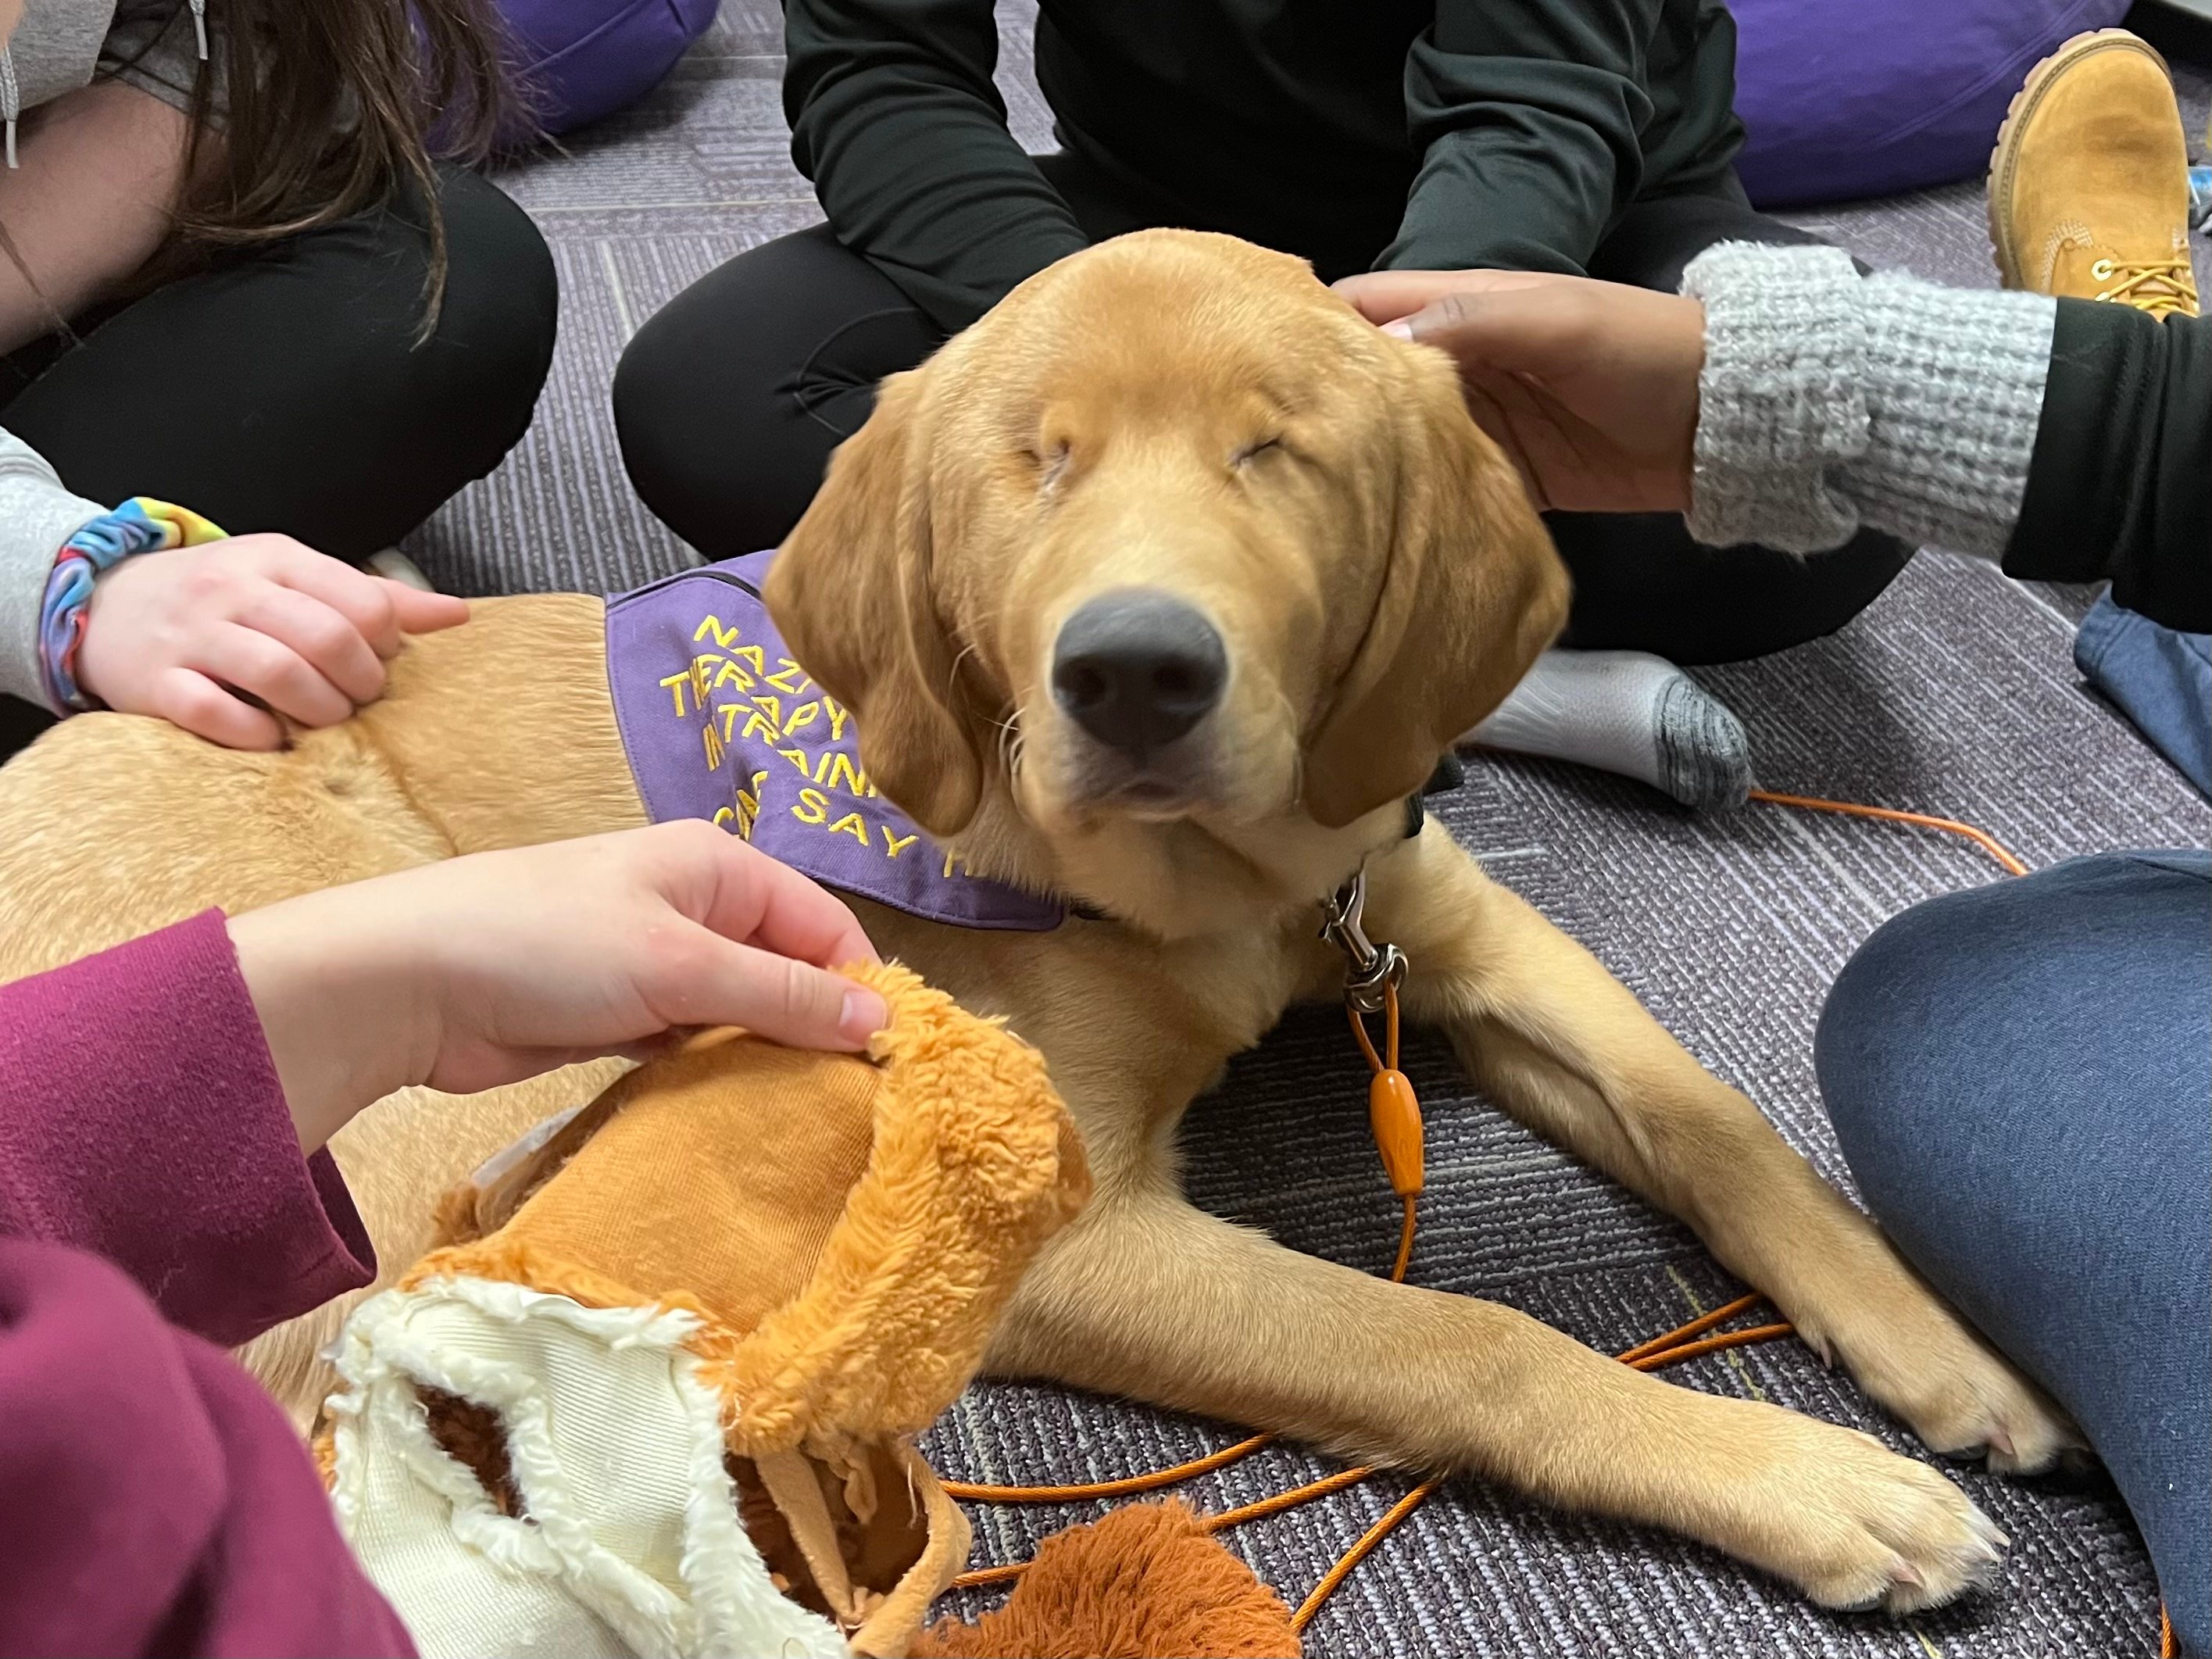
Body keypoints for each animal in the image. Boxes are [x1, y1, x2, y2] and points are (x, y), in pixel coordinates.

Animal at [0, 231, 2070, 1610]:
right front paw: (1801, 1476)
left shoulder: (1450, 928)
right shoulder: (1061, 1220)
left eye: (1273, 451)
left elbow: (1714, 1119)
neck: (1229, 893)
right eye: (1035, 461)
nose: (1135, 672)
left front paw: (1933, 1341)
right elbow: (1456, 1336)